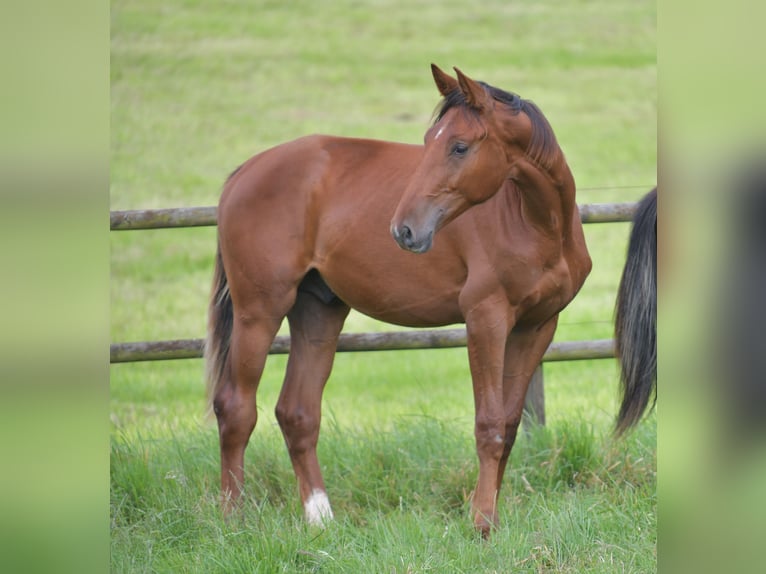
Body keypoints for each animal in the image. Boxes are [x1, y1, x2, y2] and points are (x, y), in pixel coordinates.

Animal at [208, 65, 592, 536]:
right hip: (259, 312)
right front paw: (481, 523)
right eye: (429, 141)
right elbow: (489, 426)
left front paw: (491, 516)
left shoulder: (536, 327)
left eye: (459, 146)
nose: (404, 230)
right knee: (235, 408)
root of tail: (245, 172)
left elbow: (509, 423)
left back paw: (321, 519)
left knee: (297, 412)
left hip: (318, 312)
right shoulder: (486, 320)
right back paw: (232, 519)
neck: (535, 223)